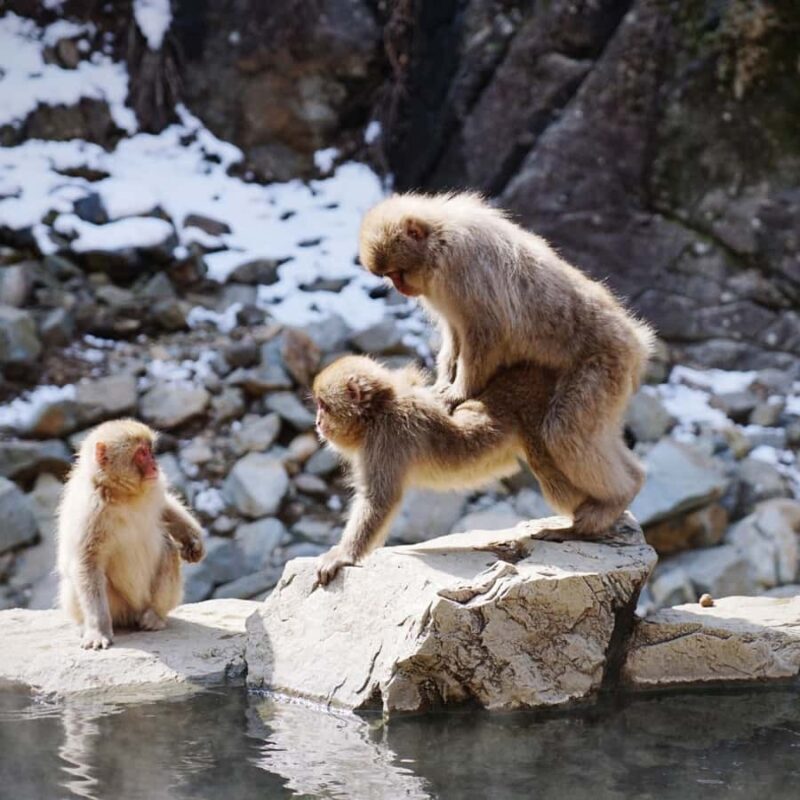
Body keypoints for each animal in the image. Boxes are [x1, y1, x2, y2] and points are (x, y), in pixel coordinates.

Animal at [56, 419, 205, 650]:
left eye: (151, 451)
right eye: (142, 454)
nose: (155, 465)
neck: (122, 494)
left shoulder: (155, 487)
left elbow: (165, 508)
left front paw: (193, 540)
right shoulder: (89, 512)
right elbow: (87, 563)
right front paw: (97, 630)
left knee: (168, 550)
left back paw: (155, 615)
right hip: (116, 604)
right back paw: (85, 625)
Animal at [312, 355, 592, 586]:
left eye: (324, 406)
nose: (317, 422)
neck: (378, 412)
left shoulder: (387, 440)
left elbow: (379, 499)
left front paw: (343, 555)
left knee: (548, 464)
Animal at [358, 192, 653, 536]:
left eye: (398, 272)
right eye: (390, 276)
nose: (399, 287)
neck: (438, 241)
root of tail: (637, 345)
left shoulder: (464, 267)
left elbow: (487, 332)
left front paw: (459, 392)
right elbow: (454, 332)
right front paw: (443, 382)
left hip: (604, 367)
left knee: (564, 432)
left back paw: (617, 498)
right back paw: (634, 478)